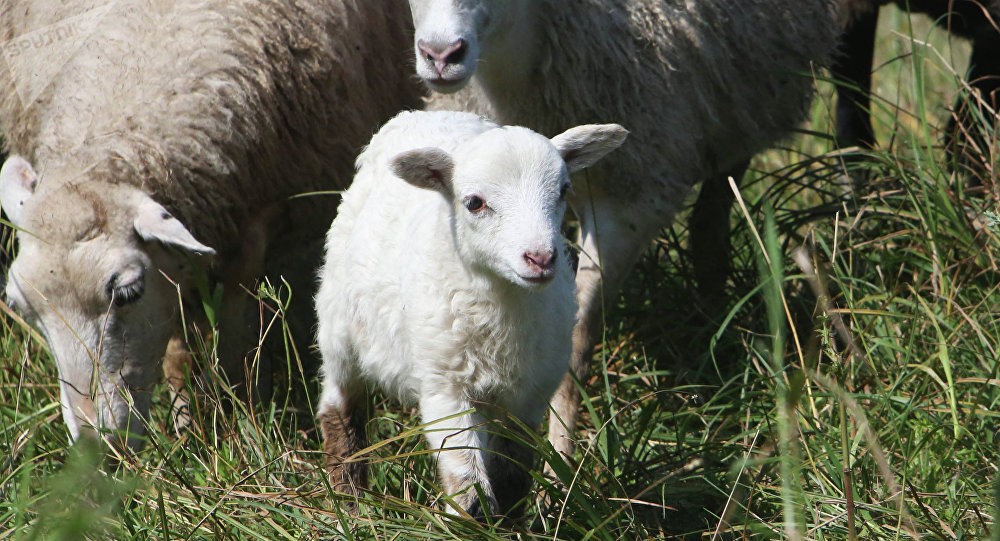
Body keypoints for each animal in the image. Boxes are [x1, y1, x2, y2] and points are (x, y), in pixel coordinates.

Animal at [0, 0, 424, 450]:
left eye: (128, 291)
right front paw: (189, 428)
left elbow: (238, 337)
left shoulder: (256, 216)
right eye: (20, 306)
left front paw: (248, 426)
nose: (98, 446)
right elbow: (178, 351)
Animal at [314, 110, 627, 518]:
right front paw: (472, 521)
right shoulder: (445, 386)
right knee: (340, 408)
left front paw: (510, 523)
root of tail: (428, 114)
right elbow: (466, 483)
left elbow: (512, 476)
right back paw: (350, 505)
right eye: (475, 202)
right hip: (338, 327)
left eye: (563, 190)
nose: (541, 258)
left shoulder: (529, 395)